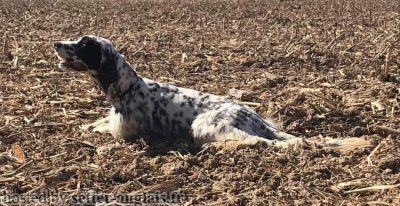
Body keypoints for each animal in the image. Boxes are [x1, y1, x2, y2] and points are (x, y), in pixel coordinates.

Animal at [54, 35, 372, 150]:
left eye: (83, 45)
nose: (56, 43)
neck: (128, 88)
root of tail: (253, 116)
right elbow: (96, 122)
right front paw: (83, 125)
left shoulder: (124, 131)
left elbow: (103, 130)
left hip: (205, 125)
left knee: (257, 142)